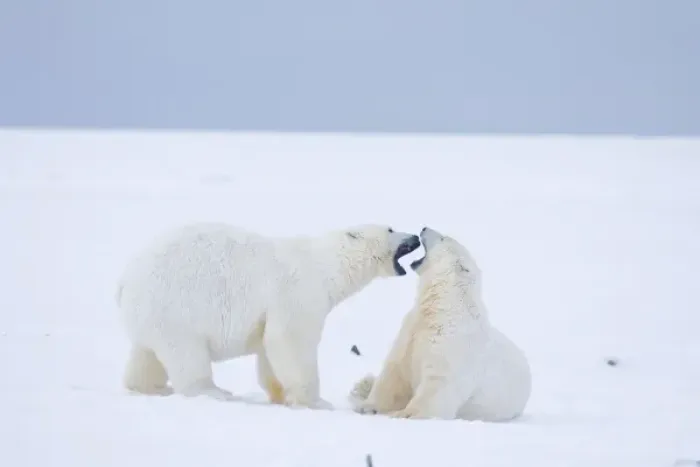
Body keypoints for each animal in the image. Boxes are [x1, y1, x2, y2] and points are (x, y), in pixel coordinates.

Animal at [115, 222, 420, 409]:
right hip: (177, 308)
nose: (415, 236)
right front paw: (316, 401)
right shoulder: (298, 293)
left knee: (146, 355)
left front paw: (281, 395)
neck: (325, 267)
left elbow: (269, 351)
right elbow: (290, 342)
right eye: (391, 228)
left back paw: (150, 387)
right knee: (187, 355)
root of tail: (125, 281)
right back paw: (215, 391)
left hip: (151, 316)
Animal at [348, 227, 531, 421]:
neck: (443, 307)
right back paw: (362, 385)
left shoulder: (452, 345)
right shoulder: (410, 331)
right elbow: (395, 372)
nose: (424, 228)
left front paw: (406, 413)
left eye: (443, 238)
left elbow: (437, 385)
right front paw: (368, 406)